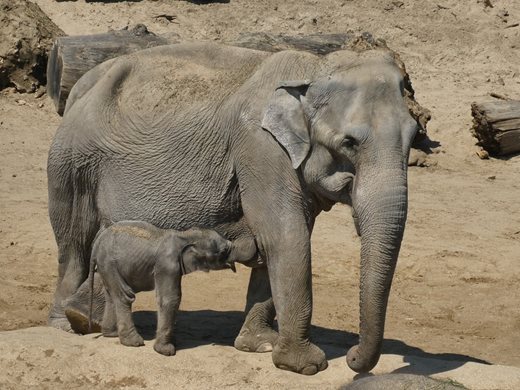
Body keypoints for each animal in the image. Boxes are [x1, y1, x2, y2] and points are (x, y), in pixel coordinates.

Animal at [89, 221, 236, 354]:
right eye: (223, 252)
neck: (184, 235)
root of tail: (97, 242)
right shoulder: (167, 265)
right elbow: (170, 299)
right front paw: (166, 350)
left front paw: (173, 342)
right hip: (109, 263)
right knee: (124, 295)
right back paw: (133, 342)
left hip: (106, 266)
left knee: (111, 295)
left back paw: (111, 334)